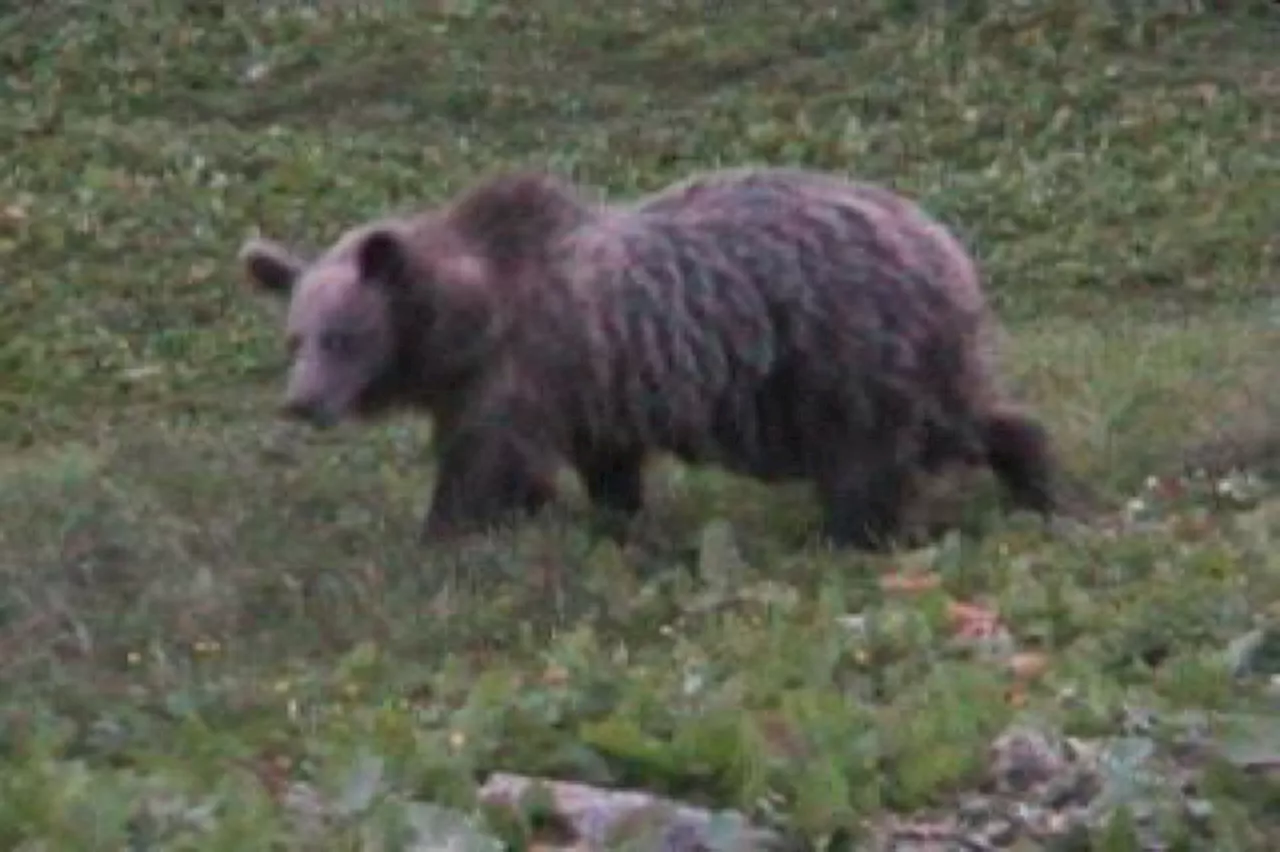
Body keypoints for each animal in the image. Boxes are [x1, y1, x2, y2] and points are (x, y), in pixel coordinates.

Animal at [235, 166, 1054, 550]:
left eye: (343, 336)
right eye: (294, 339)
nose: (300, 401)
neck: (465, 326)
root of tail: (945, 245)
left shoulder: (529, 367)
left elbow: (487, 465)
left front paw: (442, 535)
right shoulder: (591, 390)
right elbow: (606, 471)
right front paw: (614, 524)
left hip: (843, 355)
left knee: (870, 460)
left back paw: (845, 535)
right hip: (904, 362)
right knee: (968, 418)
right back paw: (1038, 484)